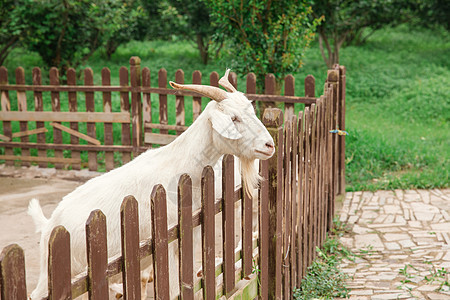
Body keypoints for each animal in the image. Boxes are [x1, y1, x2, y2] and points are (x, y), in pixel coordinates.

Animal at [29, 69, 274, 298]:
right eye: (234, 118)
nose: (269, 145)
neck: (179, 167)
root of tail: (49, 223)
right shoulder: (170, 243)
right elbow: (174, 289)